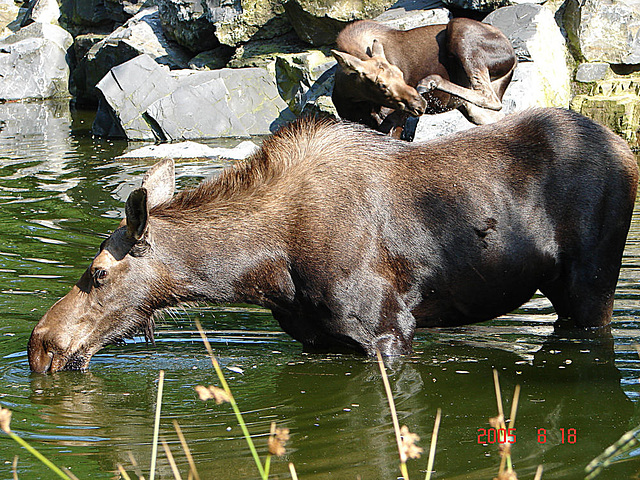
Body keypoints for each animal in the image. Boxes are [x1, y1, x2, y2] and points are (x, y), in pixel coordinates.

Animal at [28, 110, 636, 374]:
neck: (260, 271)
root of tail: (624, 149)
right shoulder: (320, 339)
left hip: (591, 285)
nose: (41, 346)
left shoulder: (389, 329)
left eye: (98, 273)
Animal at [332, 17, 516, 138]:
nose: (419, 103)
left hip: (460, 29)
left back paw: (430, 81)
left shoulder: (396, 120)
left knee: (489, 97)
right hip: (474, 106)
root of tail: (513, 57)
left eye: (401, 73)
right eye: (381, 84)